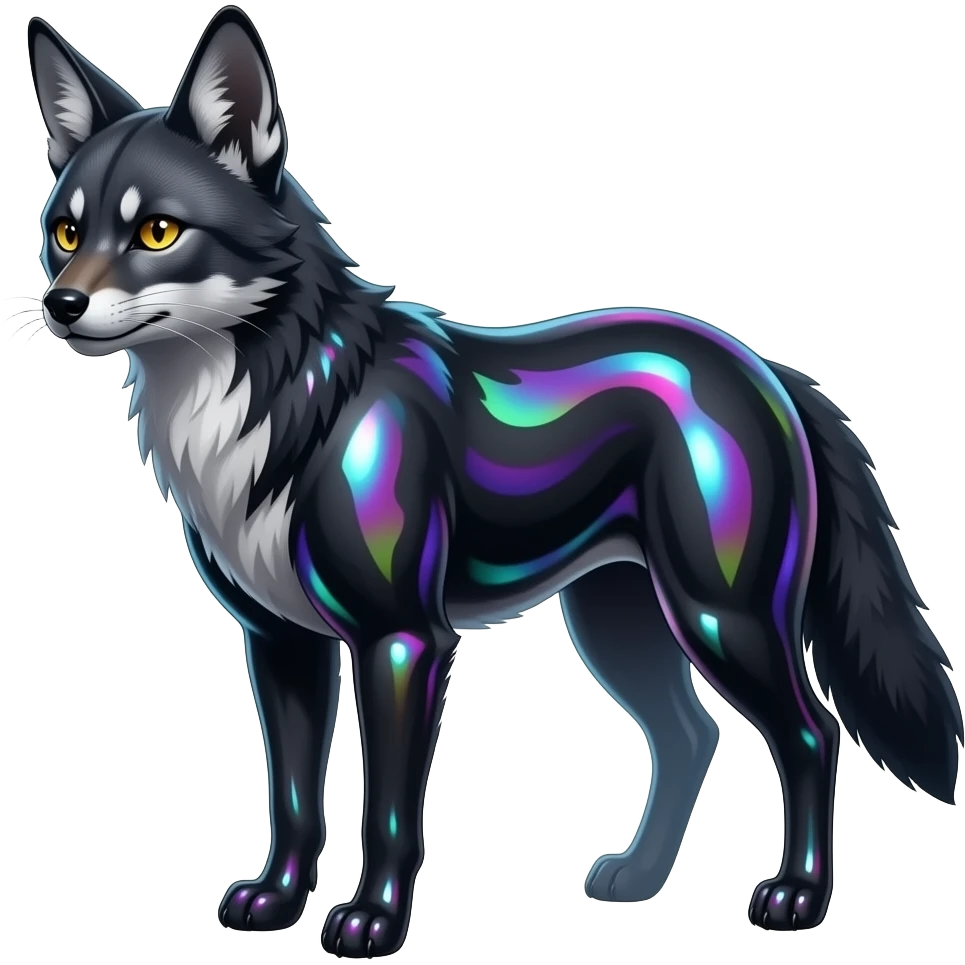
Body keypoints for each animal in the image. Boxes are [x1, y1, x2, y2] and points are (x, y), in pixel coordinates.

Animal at [25, 6, 962, 955]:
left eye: (157, 232)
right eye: (66, 232)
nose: (61, 304)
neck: (291, 404)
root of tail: (768, 367)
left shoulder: (402, 639)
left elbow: (389, 811)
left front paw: (373, 920)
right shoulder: (281, 642)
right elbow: (291, 802)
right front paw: (278, 902)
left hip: (722, 617)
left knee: (810, 734)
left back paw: (797, 896)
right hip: (620, 625)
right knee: (691, 735)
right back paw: (637, 880)